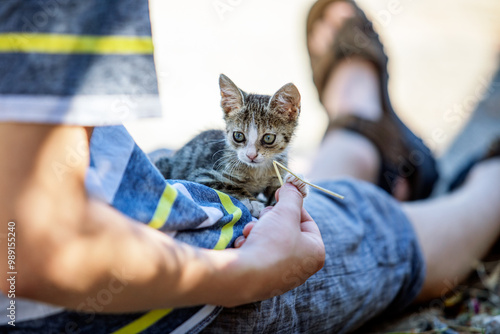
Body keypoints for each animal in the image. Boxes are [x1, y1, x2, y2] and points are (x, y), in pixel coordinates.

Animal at [154, 74, 306, 217]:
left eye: (268, 138)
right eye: (238, 136)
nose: (251, 155)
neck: (258, 172)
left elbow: (276, 192)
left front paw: (297, 183)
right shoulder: (203, 175)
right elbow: (228, 185)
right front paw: (253, 202)